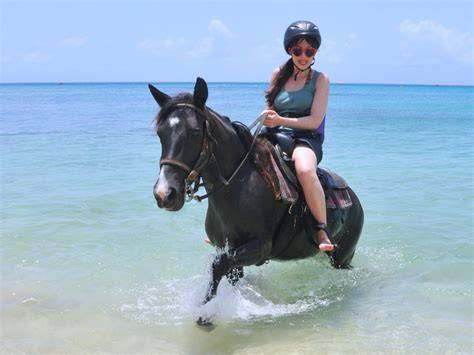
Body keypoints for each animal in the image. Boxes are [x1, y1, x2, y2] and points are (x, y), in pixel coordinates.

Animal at [150, 78, 364, 328]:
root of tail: (355, 199)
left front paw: (205, 312)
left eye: (194, 131)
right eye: (160, 133)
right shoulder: (227, 247)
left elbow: (218, 265)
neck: (237, 187)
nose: (164, 194)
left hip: (344, 257)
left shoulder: (260, 247)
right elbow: (228, 271)